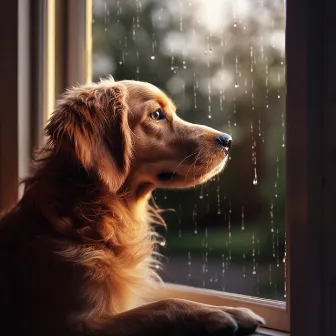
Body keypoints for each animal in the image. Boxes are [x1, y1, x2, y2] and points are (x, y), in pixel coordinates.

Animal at [0, 77, 264, 334]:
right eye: (157, 114)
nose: (227, 141)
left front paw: (231, 309)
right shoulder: (75, 325)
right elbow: (165, 304)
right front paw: (215, 313)